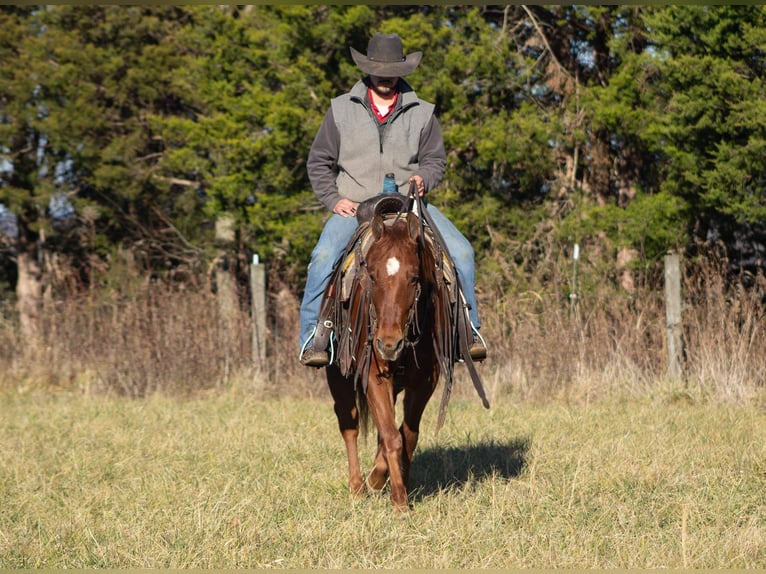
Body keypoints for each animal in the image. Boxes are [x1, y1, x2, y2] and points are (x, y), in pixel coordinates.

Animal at [324, 195, 492, 512]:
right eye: (371, 275)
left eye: (414, 278)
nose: (388, 344)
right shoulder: (373, 375)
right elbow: (392, 436)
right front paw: (395, 497)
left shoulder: (425, 380)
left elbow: (406, 434)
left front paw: (393, 483)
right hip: (338, 375)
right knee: (349, 424)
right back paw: (357, 487)